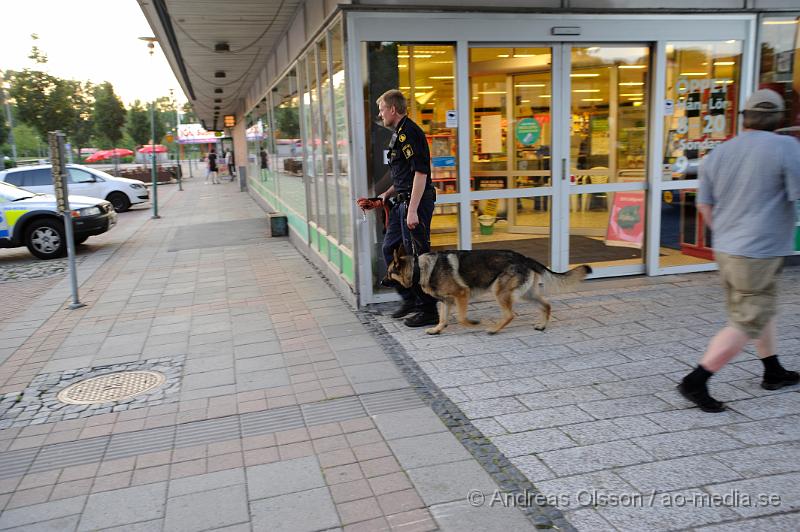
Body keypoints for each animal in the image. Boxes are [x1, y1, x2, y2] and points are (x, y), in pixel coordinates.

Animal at [384, 248, 592, 332]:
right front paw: (437, 330)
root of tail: (524, 258)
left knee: (510, 315)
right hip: (526, 294)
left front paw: (473, 323)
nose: (380, 281)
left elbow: (461, 318)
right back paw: (541, 325)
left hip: (499, 292)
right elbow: (443, 318)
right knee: (546, 305)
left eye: (388, 273)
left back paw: (493, 329)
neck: (420, 268)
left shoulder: (462, 295)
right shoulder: (446, 301)